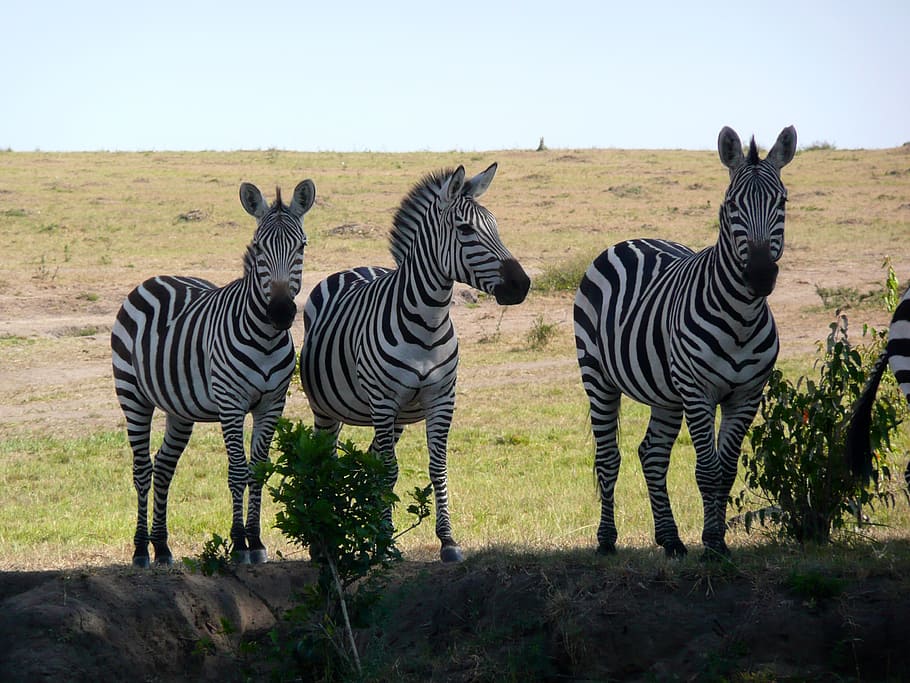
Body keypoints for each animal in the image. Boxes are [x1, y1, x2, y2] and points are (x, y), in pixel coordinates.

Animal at [111, 179, 318, 568]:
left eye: (301, 246)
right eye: (258, 247)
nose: (281, 312)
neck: (265, 338)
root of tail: (155, 278)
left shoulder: (272, 404)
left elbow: (258, 470)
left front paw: (256, 541)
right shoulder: (231, 403)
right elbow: (237, 471)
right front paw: (238, 544)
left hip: (179, 409)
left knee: (163, 467)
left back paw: (162, 547)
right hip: (133, 395)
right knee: (142, 471)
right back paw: (141, 549)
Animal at [300, 163, 532, 564]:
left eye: (496, 226)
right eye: (466, 230)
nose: (522, 285)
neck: (429, 319)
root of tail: (356, 268)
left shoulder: (441, 398)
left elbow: (436, 466)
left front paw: (447, 540)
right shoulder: (383, 401)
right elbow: (389, 470)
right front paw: (384, 541)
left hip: (394, 419)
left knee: (371, 458)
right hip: (329, 410)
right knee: (328, 458)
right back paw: (323, 543)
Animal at [576, 125, 800, 560]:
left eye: (781, 201)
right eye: (731, 205)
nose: (761, 275)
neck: (741, 317)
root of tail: (631, 240)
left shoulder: (747, 394)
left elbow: (726, 470)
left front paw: (717, 541)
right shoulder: (698, 391)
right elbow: (708, 470)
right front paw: (711, 543)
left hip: (666, 393)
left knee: (652, 454)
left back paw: (670, 539)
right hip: (597, 376)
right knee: (608, 458)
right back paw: (607, 539)